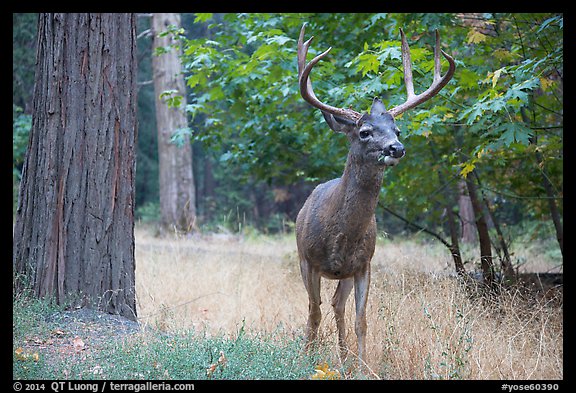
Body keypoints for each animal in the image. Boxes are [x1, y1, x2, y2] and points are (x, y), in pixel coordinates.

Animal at [296, 23, 454, 366]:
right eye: (364, 132)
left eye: (397, 131)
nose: (396, 148)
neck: (340, 234)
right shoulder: (310, 261)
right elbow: (313, 313)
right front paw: (306, 360)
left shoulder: (364, 264)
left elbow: (361, 320)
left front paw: (363, 365)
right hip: (304, 259)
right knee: (319, 307)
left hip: (344, 273)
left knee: (337, 306)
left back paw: (344, 359)